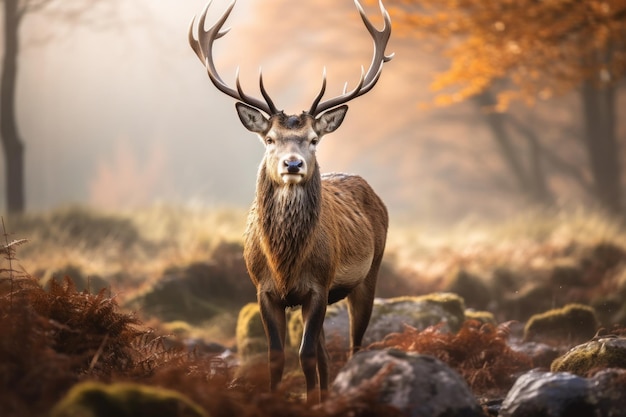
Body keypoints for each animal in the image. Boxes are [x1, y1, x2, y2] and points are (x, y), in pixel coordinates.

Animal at [188, 0, 390, 404]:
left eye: (313, 139)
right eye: (269, 139)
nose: (293, 164)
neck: (285, 263)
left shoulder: (318, 286)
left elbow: (306, 354)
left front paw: (312, 403)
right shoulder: (263, 290)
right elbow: (278, 356)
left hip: (368, 275)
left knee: (354, 346)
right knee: (328, 352)